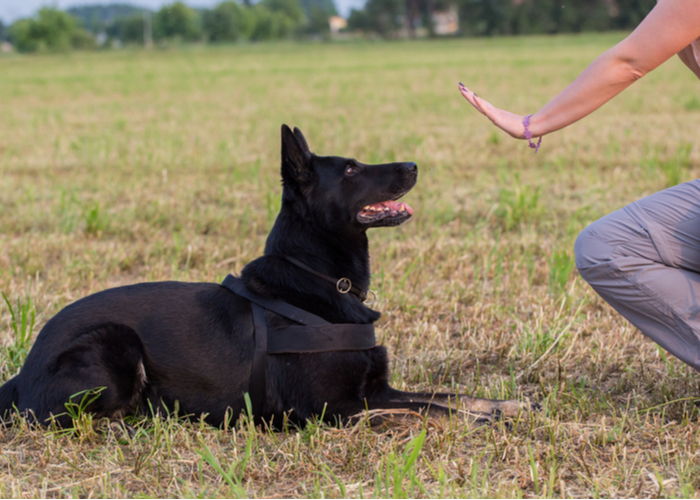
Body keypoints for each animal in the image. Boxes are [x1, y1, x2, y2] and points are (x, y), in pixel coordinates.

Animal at [0, 127, 532, 428]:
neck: (320, 280)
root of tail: (23, 373)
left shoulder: (375, 390)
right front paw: (476, 424)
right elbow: (425, 411)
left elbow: (445, 396)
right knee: (69, 420)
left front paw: (503, 407)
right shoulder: (332, 410)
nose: (413, 164)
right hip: (115, 343)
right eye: (351, 169)